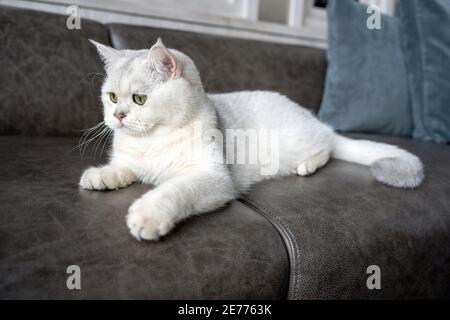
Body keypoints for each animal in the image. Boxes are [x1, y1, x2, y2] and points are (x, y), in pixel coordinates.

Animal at [81, 38, 426, 240]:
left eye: (139, 99)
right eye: (112, 97)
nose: (117, 116)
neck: (150, 141)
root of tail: (312, 118)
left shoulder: (213, 178)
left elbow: (174, 190)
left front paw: (147, 216)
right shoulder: (129, 160)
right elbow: (122, 168)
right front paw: (99, 176)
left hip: (301, 141)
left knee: (328, 148)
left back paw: (308, 166)